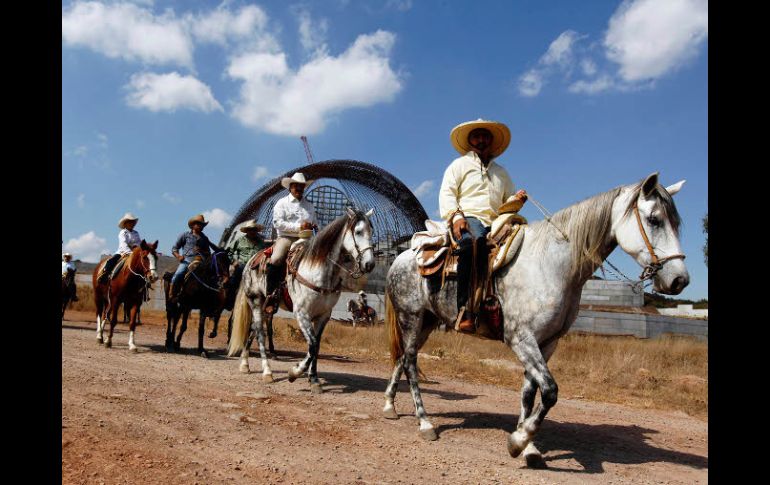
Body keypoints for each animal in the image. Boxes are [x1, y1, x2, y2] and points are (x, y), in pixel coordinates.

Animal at [225, 206, 376, 392]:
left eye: (371, 231)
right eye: (358, 231)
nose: (370, 264)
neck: (319, 271)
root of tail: (249, 263)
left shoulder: (324, 315)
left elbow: (316, 346)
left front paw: (314, 380)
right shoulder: (302, 314)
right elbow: (312, 344)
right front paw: (294, 372)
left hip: (265, 307)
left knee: (253, 329)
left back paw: (245, 364)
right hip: (256, 301)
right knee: (260, 332)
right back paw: (267, 372)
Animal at [380, 174, 688, 466]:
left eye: (676, 222)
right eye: (654, 219)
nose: (680, 280)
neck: (551, 265)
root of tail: (403, 256)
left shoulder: (546, 342)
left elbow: (529, 392)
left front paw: (528, 446)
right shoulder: (521, 339)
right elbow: (550, 391)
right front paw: (518, 441)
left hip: (427, 322)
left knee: (403, 358)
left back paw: (389, 406)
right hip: (411, 317)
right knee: (410, 361)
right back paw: (425, 423)